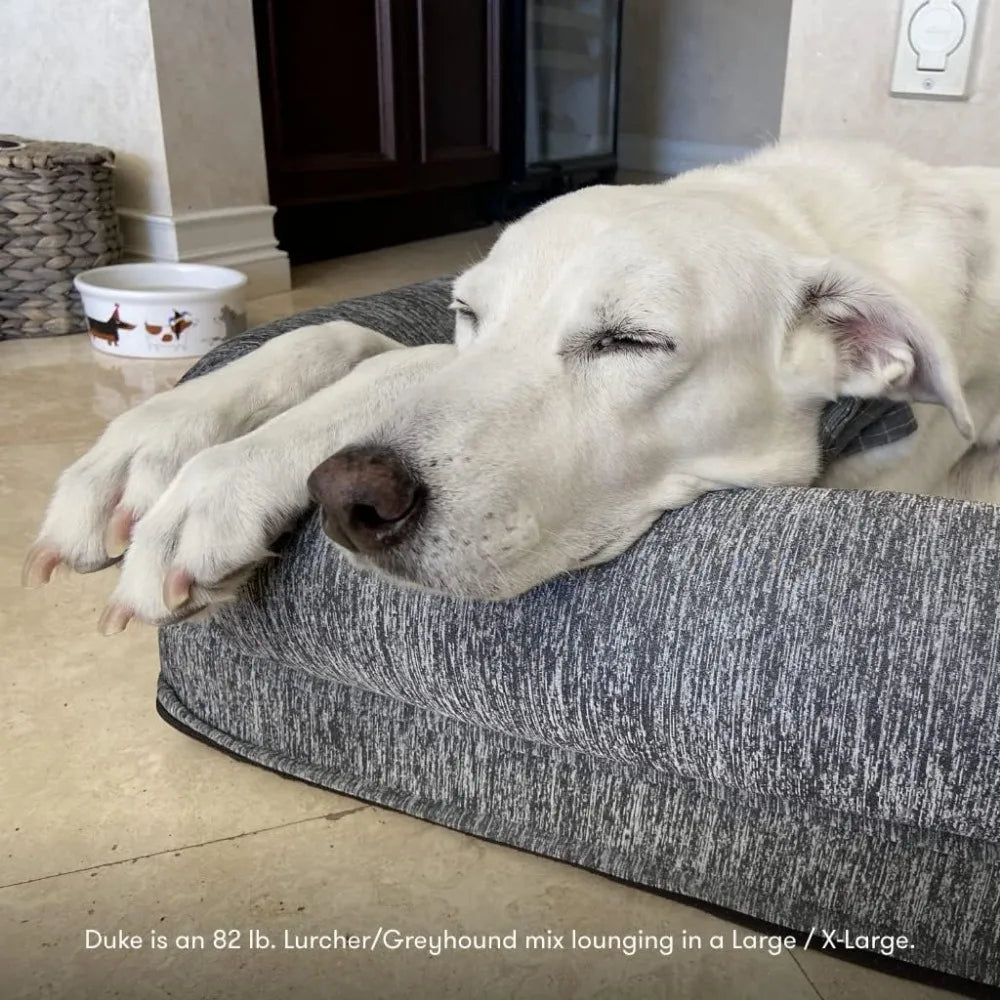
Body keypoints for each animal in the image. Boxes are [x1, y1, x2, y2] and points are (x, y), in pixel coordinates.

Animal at [19, 139, 1000, 632]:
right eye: (467, 313)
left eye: (631, 340)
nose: (347, 499)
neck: (796, 219)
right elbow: (364, 347)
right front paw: (155, 448)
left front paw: (208, 485)